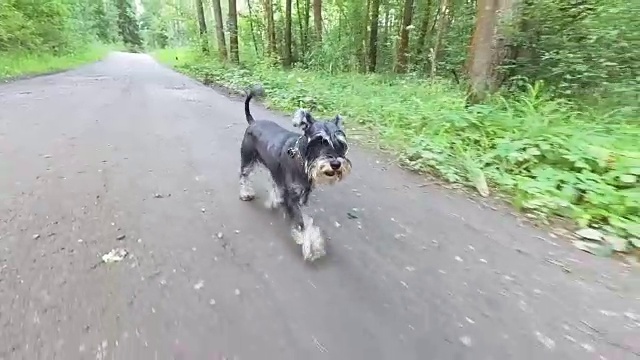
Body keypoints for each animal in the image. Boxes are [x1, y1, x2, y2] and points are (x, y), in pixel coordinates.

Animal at [239, 84, 352, 262]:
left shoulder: (302, 194)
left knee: (275, 184)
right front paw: (310, 245)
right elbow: (301, 222)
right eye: (319, 141)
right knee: (244, 175)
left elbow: (304, 218)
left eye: (341, 144)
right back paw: (246, 193)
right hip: (248, 159)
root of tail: (253, 122)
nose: (335, 164)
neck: (300, 158)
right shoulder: (292, 196)